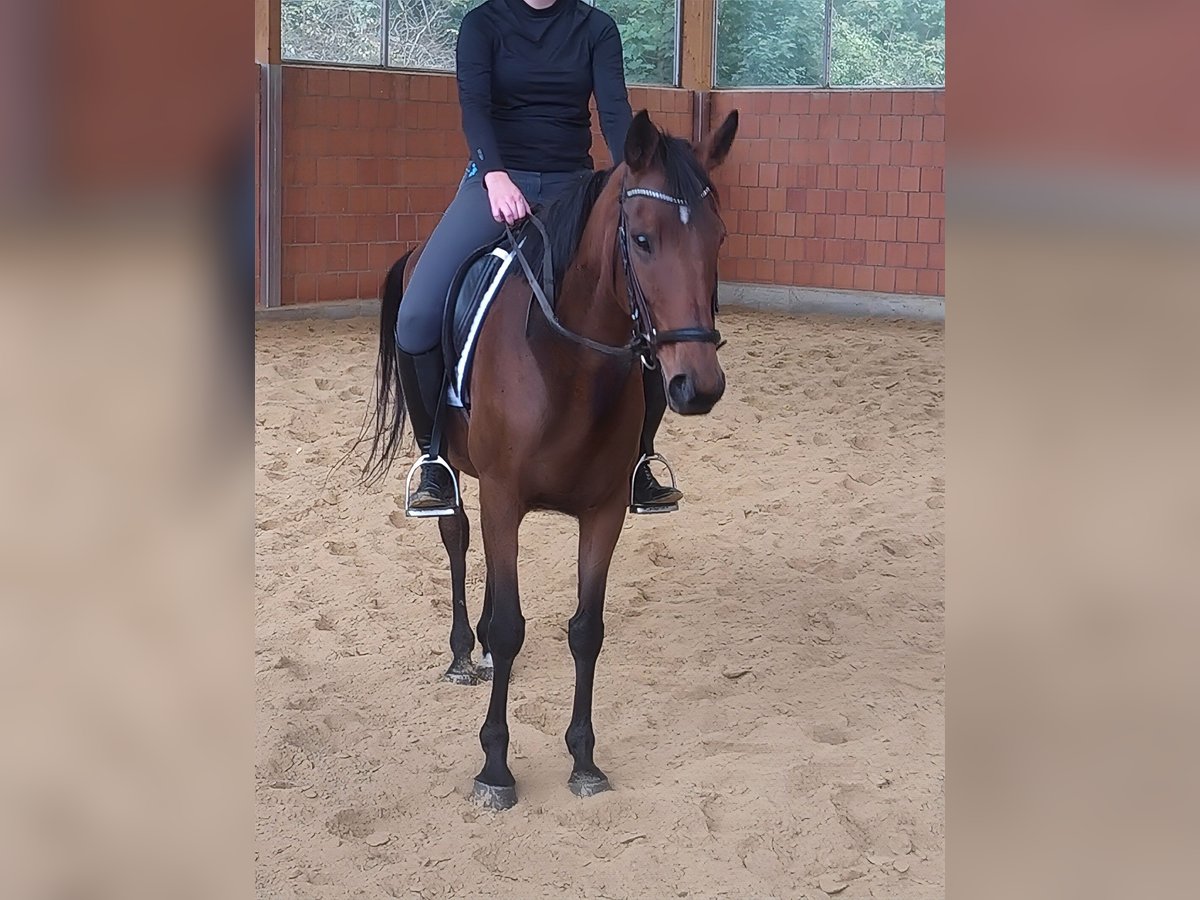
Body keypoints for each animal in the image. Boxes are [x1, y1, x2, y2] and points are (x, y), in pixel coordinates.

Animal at [361, 109, 739, 809]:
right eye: (642, 239)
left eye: (718, 237)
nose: (697, 387)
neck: (568, 365)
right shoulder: (503, 496)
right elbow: (514, 626)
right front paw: (495, 768)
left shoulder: (604, 510)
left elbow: (586, 629)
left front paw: (584, 759)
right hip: (461, 475)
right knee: (458, 540)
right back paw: (465, 651)